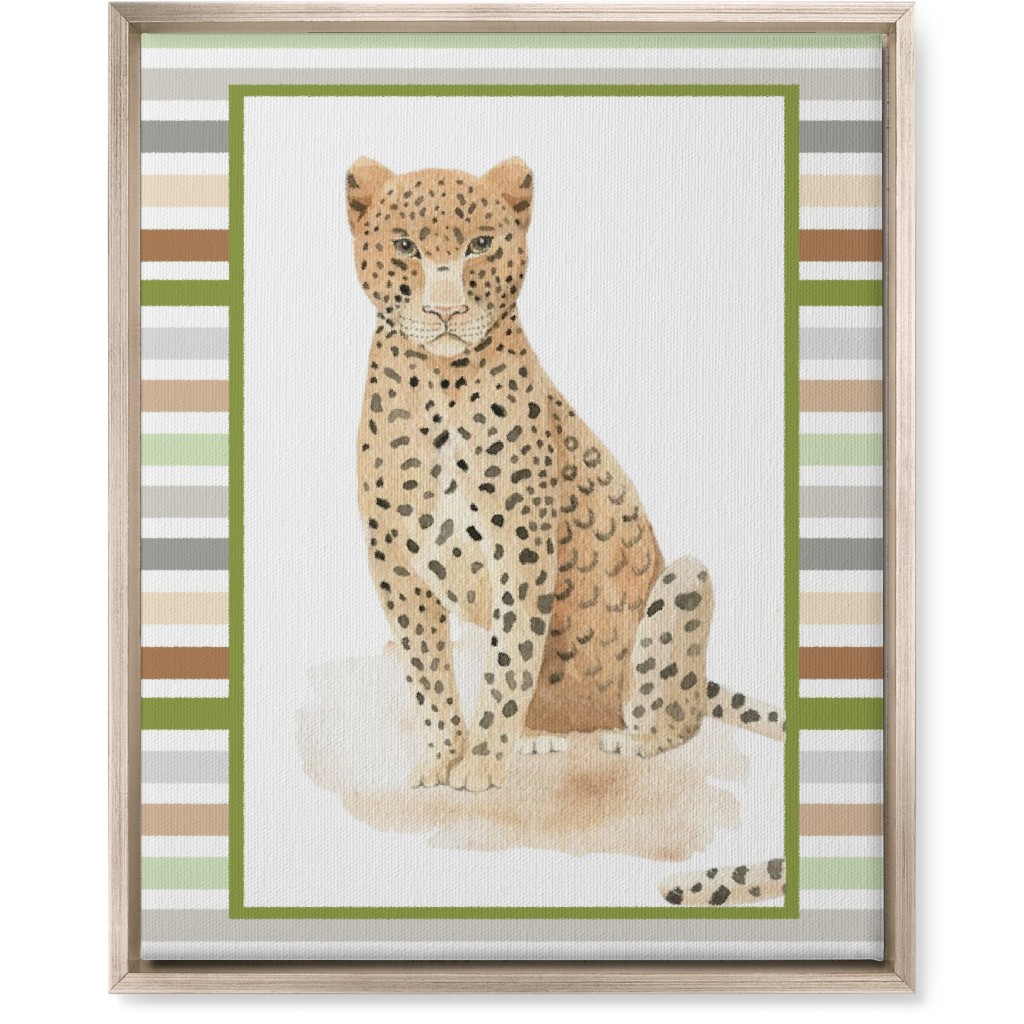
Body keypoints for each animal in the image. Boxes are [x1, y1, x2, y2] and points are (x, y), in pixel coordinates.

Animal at [345, 156, 787, 907]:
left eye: (481, 245)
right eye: (404, 246)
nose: (444, 311)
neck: (437, 382)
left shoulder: (522, 551)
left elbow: (508, 661)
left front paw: (480, 762)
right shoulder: (395, 564)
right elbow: (429, 671)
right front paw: (442, 756)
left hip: (684, 577)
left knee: (674, 713)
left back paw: (624, 739)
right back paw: (540, 736)